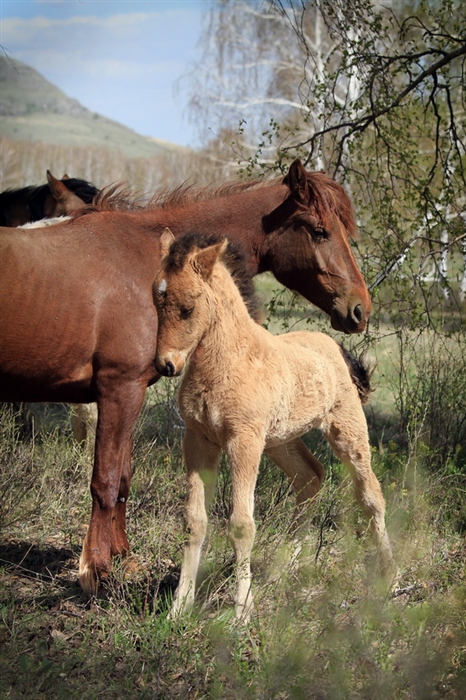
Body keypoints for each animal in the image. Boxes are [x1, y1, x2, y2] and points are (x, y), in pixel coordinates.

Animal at [0, 160, 372, 596]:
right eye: (319, 230)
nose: (360, 309)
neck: (141, 263)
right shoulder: (119, 390)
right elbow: (105, 481)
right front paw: (95, 570)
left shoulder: (129, 396)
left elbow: (123, 478)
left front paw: (123, 558)